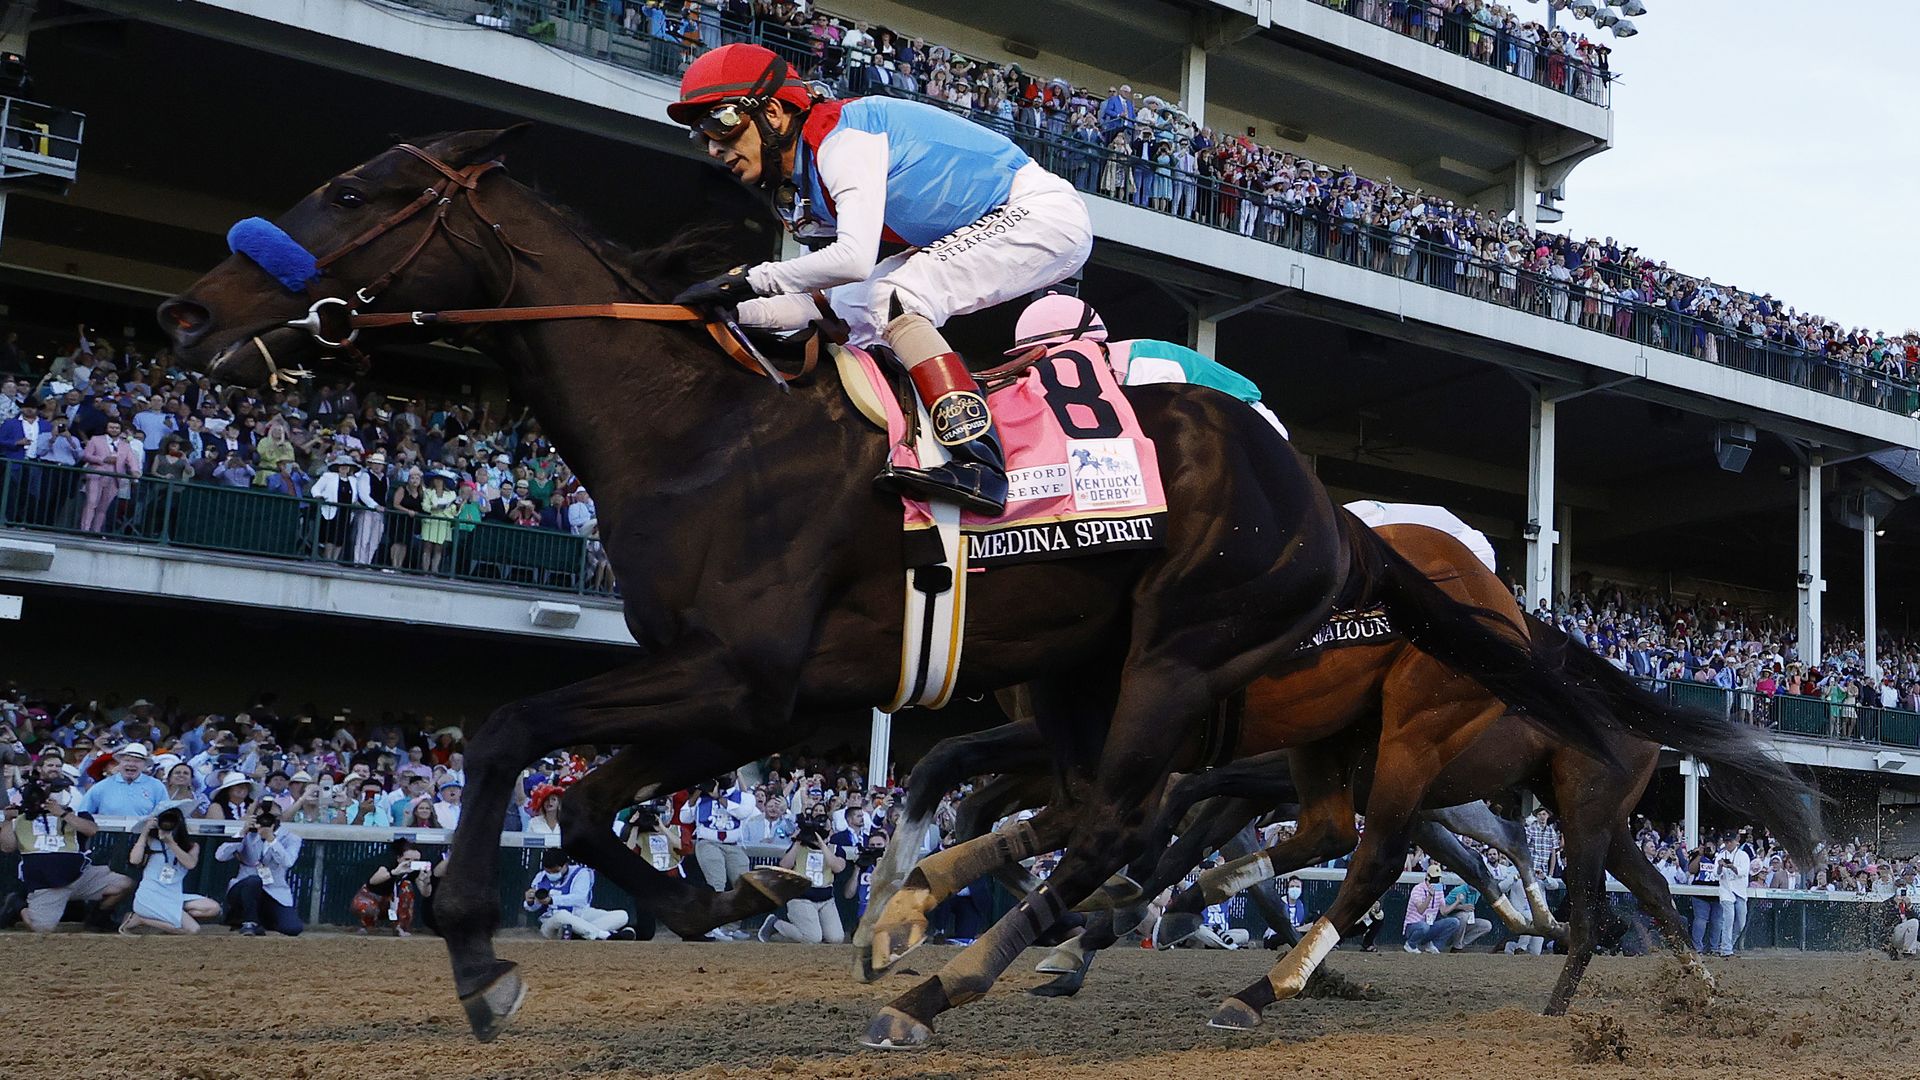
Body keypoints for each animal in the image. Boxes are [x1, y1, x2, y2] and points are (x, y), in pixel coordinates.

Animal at [159, 129, 1625, 1047]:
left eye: (355, 194)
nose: (189, 312)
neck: (700, 437)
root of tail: (1333, 511)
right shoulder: (732, 695)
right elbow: (577, 804)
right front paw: (730, 897)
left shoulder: (742, 682)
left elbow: (510, 734)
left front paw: (478, 952)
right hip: (1114, 681)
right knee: (1159, 822)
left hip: (1202, 666)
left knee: (1168, 830)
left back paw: (959, 984)